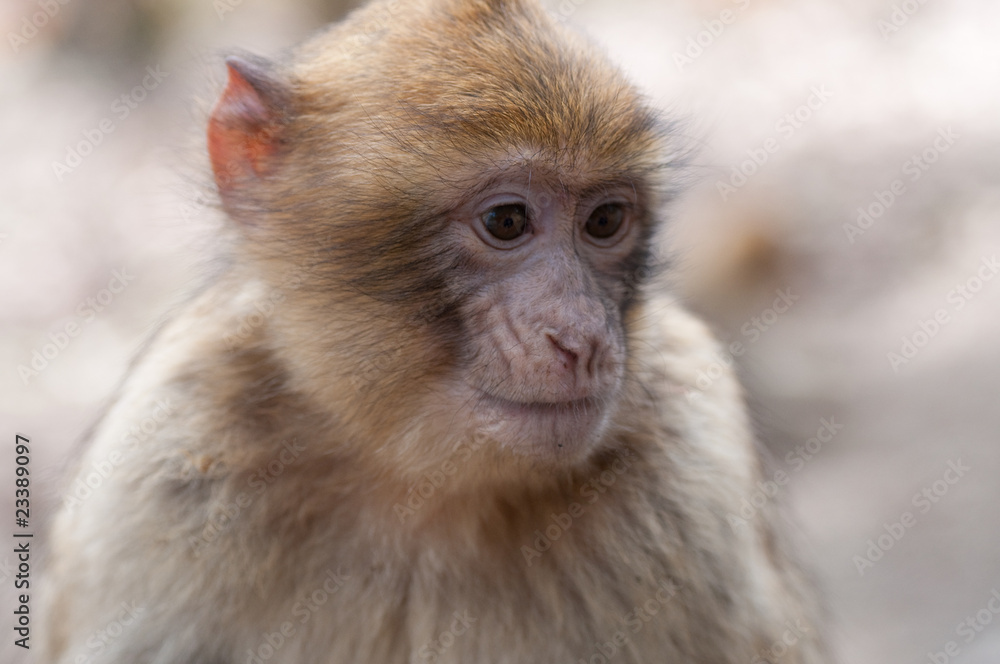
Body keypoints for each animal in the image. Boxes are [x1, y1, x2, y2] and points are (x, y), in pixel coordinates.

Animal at [39, 0, 828, 660]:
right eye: (506, 221)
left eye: (605, 221)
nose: (584, 338)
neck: (419, 485)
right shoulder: (165, 456)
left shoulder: (695, 466)